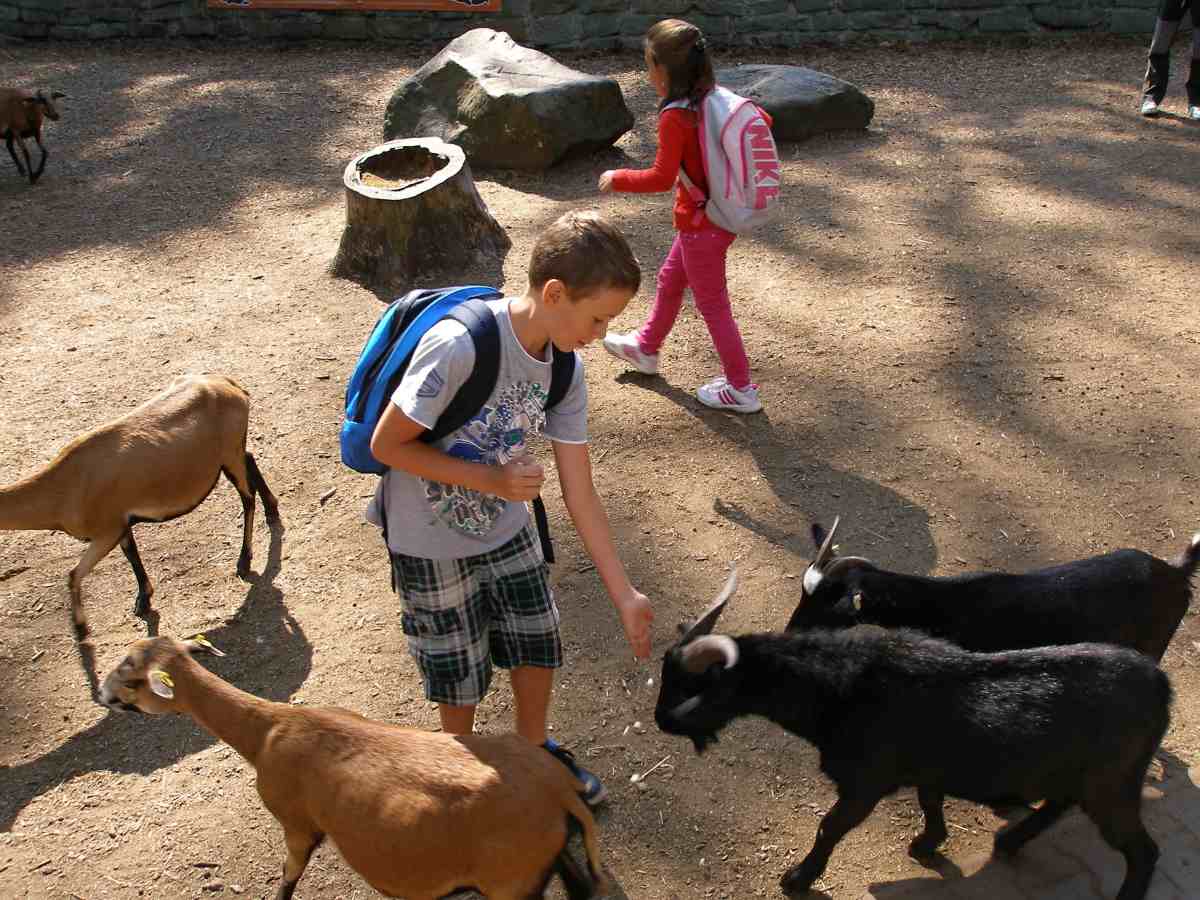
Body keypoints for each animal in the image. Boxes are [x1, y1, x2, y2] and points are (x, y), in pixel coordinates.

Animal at [0, 374, 278, 643]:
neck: (62, 489)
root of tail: (232, 387)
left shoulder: (107, 530)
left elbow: (73, 574)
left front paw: (81, 629)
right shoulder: (121, 524)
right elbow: (131, 555)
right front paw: (143, 600)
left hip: (229, 454)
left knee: (247, 496)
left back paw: (244, 561)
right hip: (233, 453)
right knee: (250, 458)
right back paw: (272, 513)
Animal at [99, 638, 609, 897]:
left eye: (131, 677)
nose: (101, 695)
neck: (268, 730)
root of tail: (557, 789)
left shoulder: (296, 822)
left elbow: (288, 876)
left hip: (509, 884)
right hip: (547, 861)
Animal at [657, 571, 1171, 900]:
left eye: (695, 686)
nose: (662, 719)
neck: (842, 685)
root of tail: (1163, 688)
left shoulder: (864, 785)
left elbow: (830, 827)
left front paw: (798, 879)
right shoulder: (925, 770)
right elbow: (930, 801)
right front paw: (927, 843)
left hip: (1112, 785)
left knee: (1143, 852)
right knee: (1061, 804)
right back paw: (1010, 842)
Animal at [787, 513, 1200, 662]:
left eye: (831, 604)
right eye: (803, 592)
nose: (791, 630)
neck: (944, 603)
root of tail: (1176, 571)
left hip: (1154, 643)